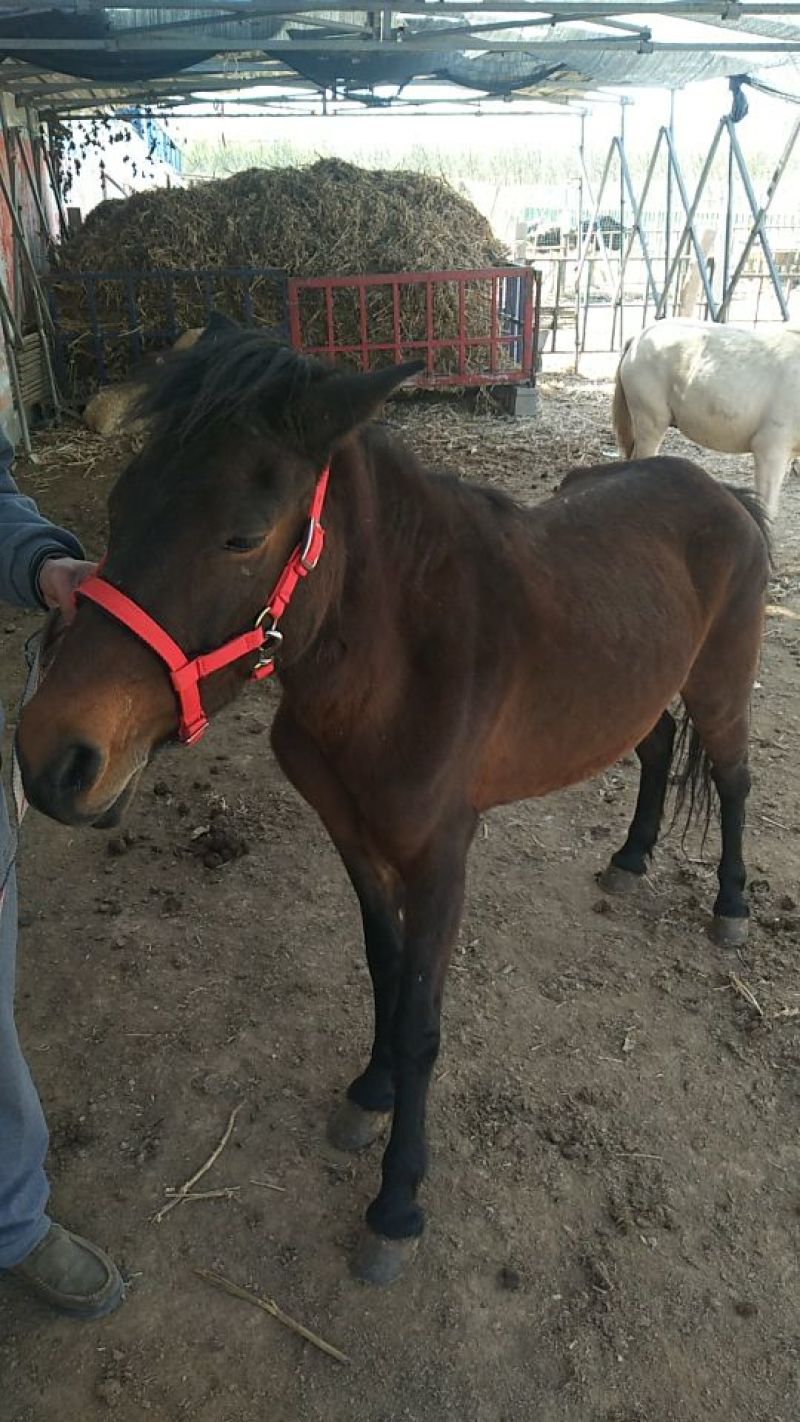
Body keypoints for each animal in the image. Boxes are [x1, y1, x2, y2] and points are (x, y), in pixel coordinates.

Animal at [16, 320, 771, 1286]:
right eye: (118, 505)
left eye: (243, 536)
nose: (52, 758)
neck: (399, 665)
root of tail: (721, 493)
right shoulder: (354, 840)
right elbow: (384, 972)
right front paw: (369, 1092)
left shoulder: (441, 860)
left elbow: (419, 1021)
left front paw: (397, 1201)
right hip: (638, 693)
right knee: (656, 747)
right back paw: (632, 858)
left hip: (719, 686)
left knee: (733, 779)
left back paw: (732, 906)